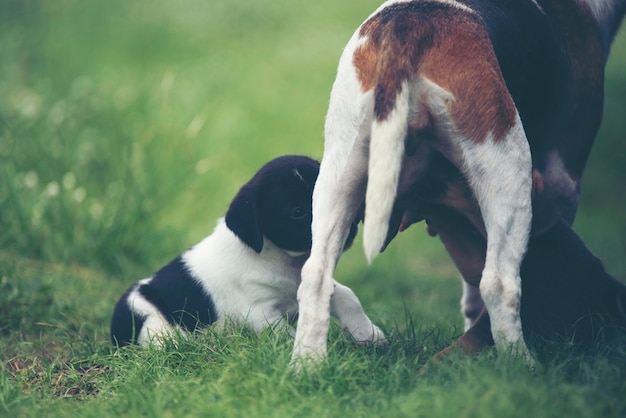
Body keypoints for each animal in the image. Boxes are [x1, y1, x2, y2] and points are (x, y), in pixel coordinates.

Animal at [109, 155, 382, 348]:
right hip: (146, 316)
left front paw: (367, 332)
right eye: (298, 211)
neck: (283, 260)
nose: (350, 222)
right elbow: (284, 334)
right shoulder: (260, 311)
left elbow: (347, 297)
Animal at [292, 0, 624, 366]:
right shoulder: (563, 179)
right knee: (499, 284)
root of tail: (413, 21)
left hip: (339, 172)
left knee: (316, 274)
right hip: (506, 170)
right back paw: (521, 365)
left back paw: (306, 365)